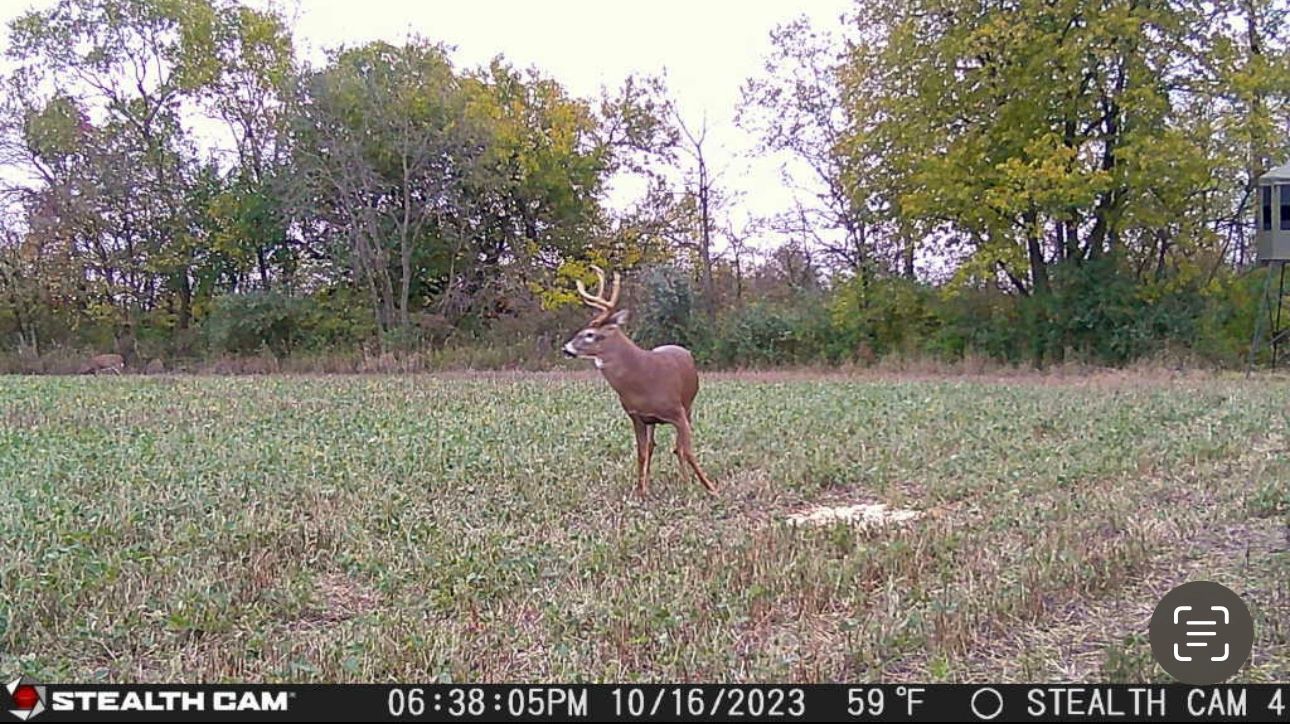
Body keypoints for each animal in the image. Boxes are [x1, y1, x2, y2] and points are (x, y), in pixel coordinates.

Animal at [562, 265, 718, 497]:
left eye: (589, 334)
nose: (566, 348)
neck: (641, 379)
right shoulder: (636, 416)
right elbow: (642, 452)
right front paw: (641, 490)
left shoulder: (678, 412)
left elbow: (687, 450)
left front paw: (709, 487)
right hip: (654, 420)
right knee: (654, 446)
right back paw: (653, 480)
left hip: (689, 404)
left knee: (678, 447)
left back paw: (685, 480)